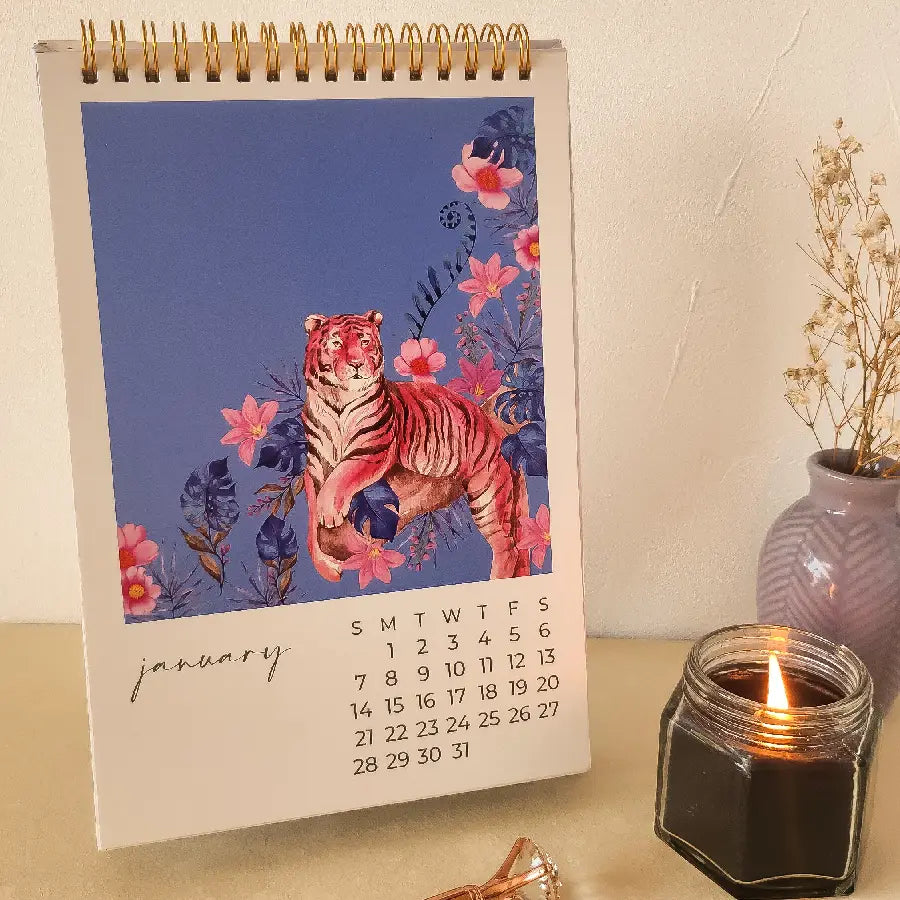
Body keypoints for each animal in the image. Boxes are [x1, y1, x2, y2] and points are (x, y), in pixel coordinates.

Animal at [301, 310, 531, 582]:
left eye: (364, 341)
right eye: (336, 343)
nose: (356, 364)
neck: (337, 401)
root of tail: (492, 423)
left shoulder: (373, 449)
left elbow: (342, 476)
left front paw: (329, 512)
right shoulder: (315, 466)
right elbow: (311, 516)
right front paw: (326, 567)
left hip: (487, 494)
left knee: (507, 546)